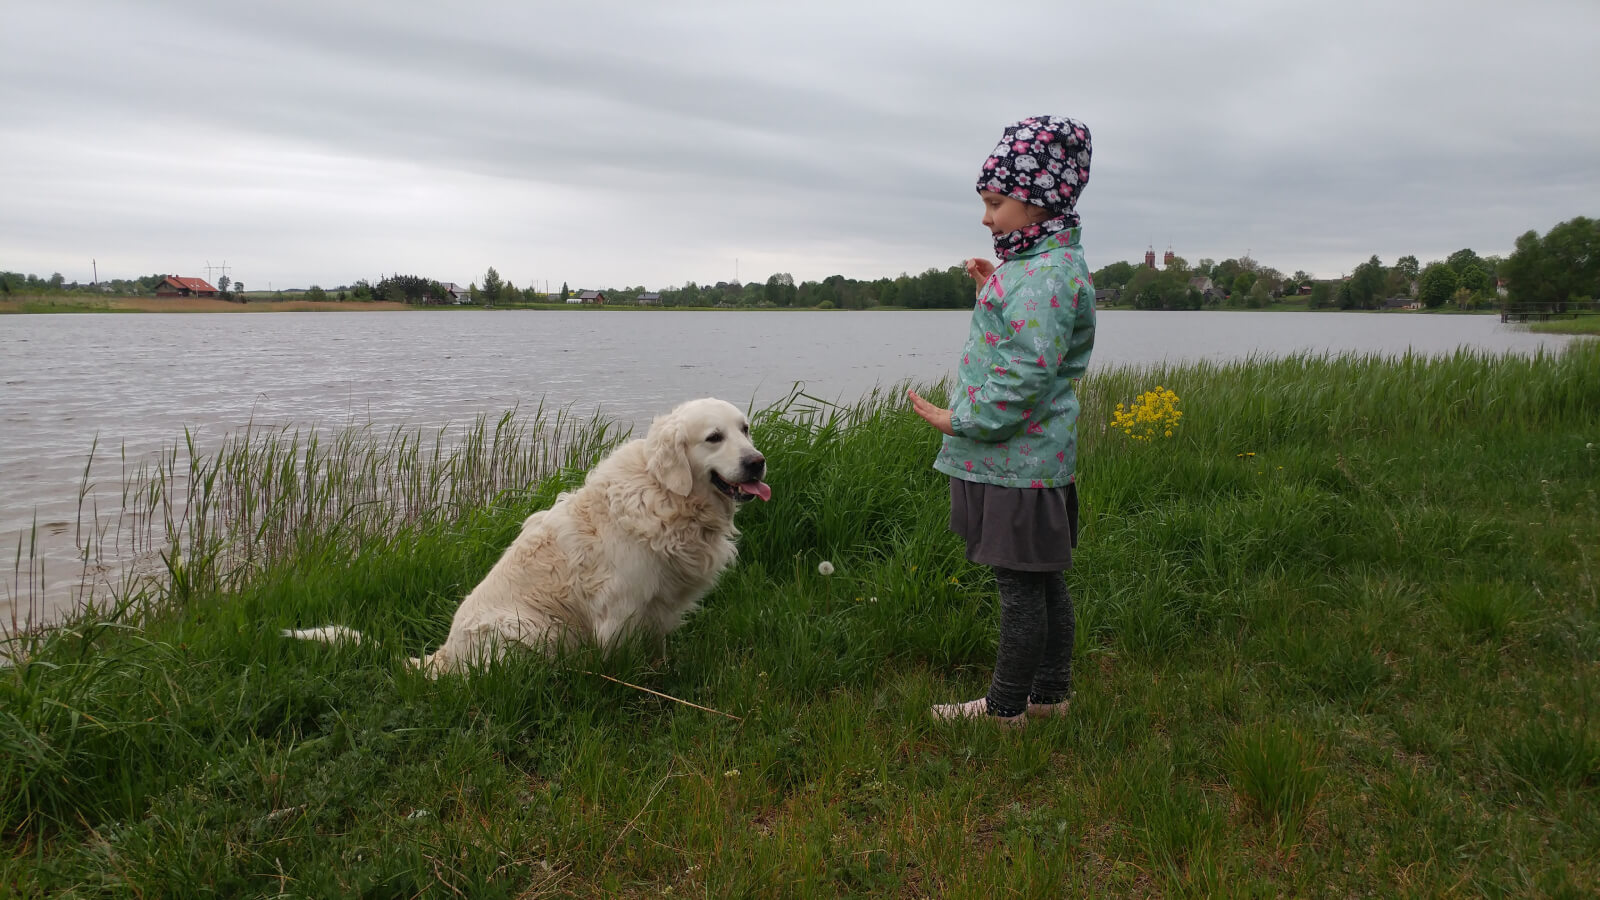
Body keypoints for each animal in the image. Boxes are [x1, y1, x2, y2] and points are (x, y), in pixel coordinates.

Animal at [285, 397, 769, 675]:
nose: (757, 462)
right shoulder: (621, 608)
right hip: (534, 630)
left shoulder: (660, 604)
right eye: (713, 437)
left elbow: (660, 645)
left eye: (745, 429)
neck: (666, 494)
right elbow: (624, 664)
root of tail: (442, 656)